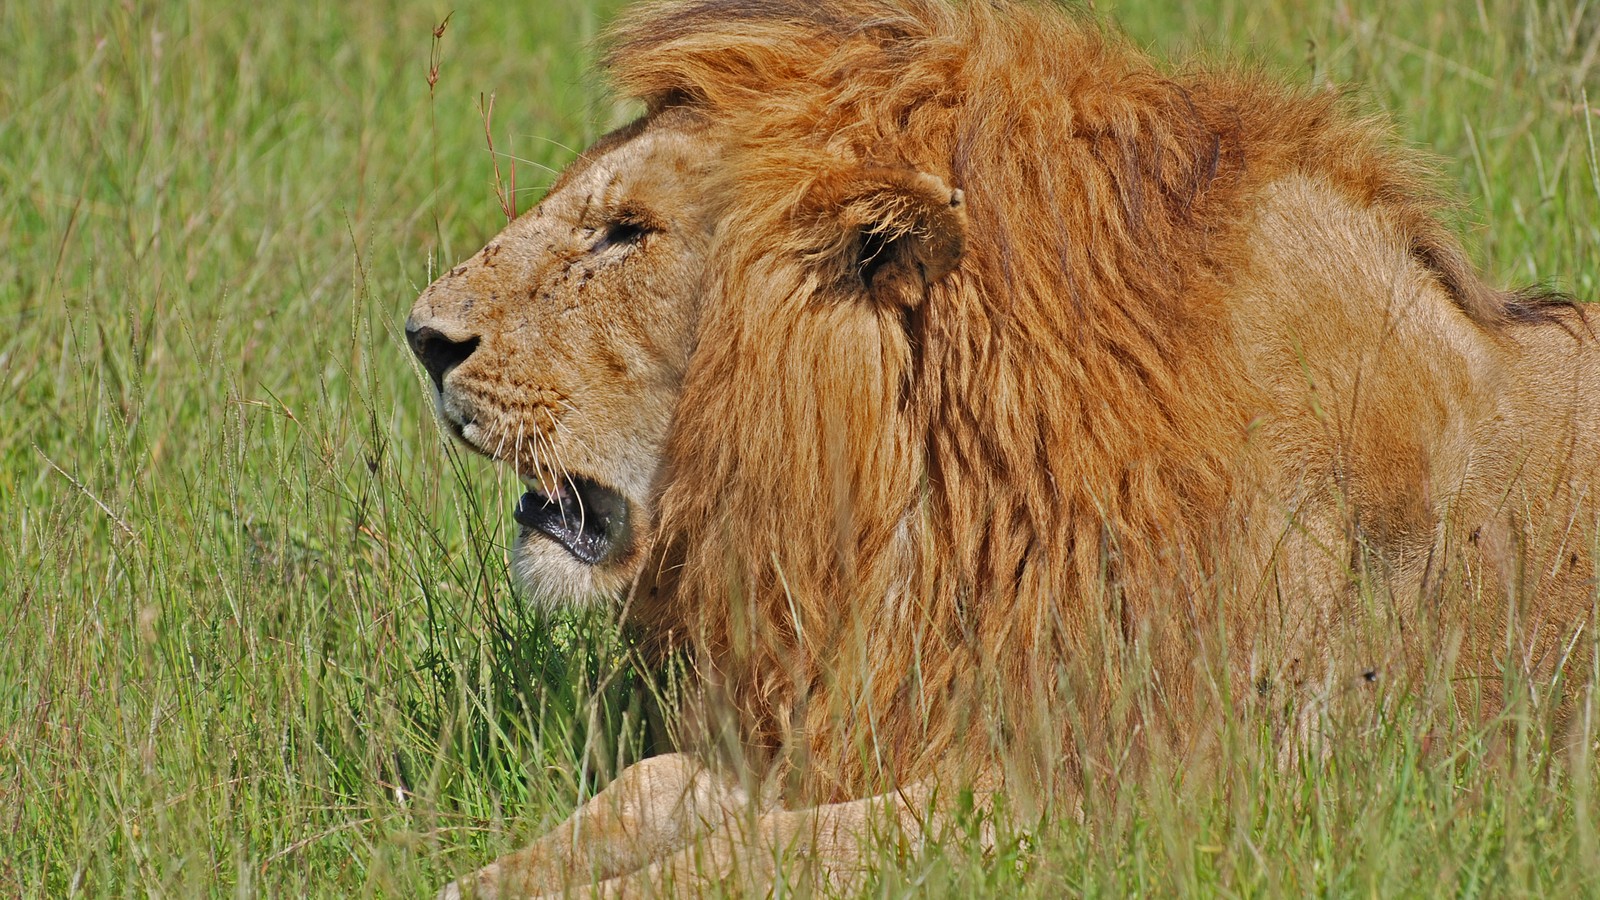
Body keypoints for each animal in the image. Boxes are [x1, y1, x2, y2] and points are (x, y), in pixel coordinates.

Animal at [407, 1, 1600, 896]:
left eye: (628, 233)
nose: (421, 336)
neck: (925, 503)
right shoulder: (876, 708)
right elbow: (648, 786)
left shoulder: (1122, 794)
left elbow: (758, 855)